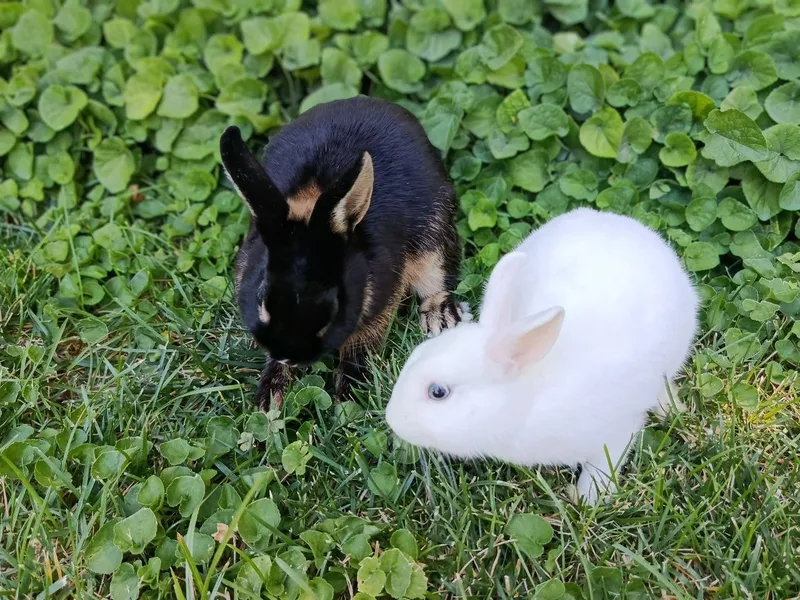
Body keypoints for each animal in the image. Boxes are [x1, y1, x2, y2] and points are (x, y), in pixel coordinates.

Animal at [220, 97, 470, 409]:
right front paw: (269, 402)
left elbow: (359, 349)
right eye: (261, 298)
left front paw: (348, 400)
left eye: (335, 302)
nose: (290, 355)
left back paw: (440, 319)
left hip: (434, 237)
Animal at [385, 207, 699, 505]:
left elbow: (603, 466)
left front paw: (587, 498)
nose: (391, 419)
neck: (526, 398)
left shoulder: (618, 429)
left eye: (438, 392)